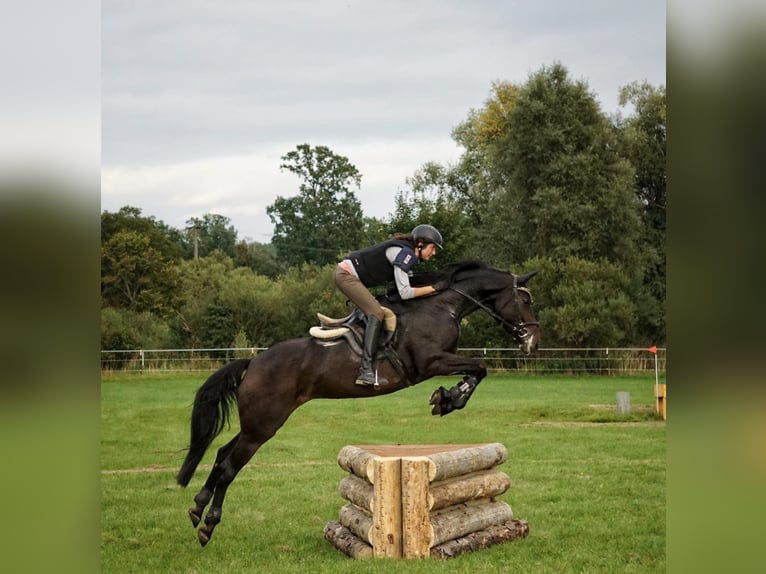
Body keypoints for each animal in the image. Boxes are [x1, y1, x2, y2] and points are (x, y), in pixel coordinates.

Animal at [178, 260, 540, 548]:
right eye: (524, 299)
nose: (533, 342)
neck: (441, 307)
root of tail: (253, 363)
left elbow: (478, 368)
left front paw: (446, 398)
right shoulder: (431, 362)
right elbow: (480, 367)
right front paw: (450, 399)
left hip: (256, 424)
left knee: (221, 454)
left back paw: (197, 507)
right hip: (263, 426)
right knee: (229, 466)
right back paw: (208, 524)